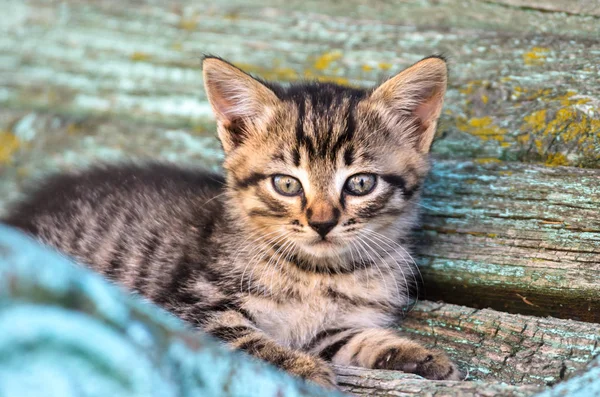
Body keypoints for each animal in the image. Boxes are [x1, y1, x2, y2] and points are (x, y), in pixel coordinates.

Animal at [1, 55, 460, 386]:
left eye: (360, 183)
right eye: (287, 184)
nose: (322, 223)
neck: (318, 272)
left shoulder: (331, 329)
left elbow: (356, 340)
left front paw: (416, 354)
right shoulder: (190, 308)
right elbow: (250, 341)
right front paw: (306, 369)